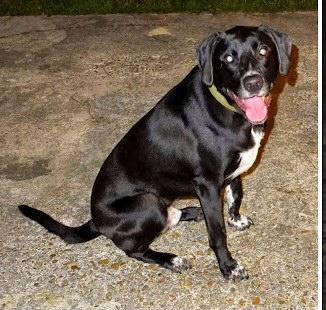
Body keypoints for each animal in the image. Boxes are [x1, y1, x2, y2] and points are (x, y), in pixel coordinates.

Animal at [19, 24, 292, 280]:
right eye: (227, 59)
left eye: (263, 51)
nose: (253, 82)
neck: (228, 107)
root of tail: (95, 220)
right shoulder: (208, 184)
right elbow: (217, 233)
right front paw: (229, 268)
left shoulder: (234, 172)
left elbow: (235, 196)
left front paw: (236, 220)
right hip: (147, 203)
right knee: (134, 250)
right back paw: (172, 259)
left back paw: (190, 212)